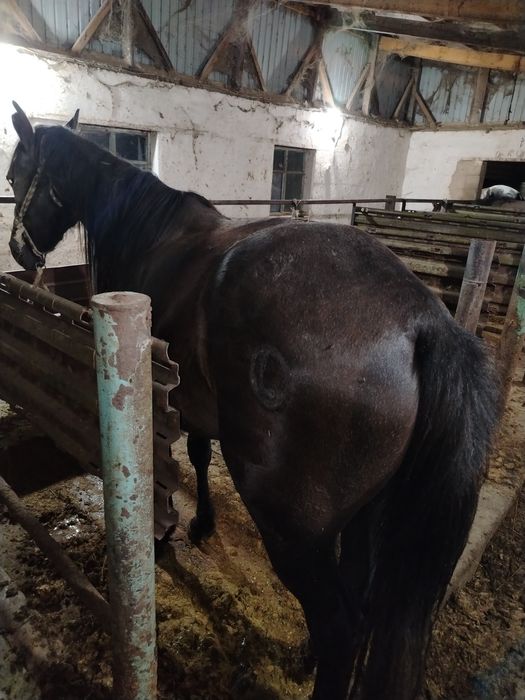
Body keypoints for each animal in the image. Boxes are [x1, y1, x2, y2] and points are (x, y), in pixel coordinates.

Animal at [6, 102, 500, 700]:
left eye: (15, 174)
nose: (18, 249)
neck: (152, 233)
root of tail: (422, 320)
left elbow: (182, 460)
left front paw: (177, 532)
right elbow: (198, 454)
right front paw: (202, 524)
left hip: (290, 526)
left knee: (340, 625)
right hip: (361, 516)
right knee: (358, 602)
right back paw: (307, 657)